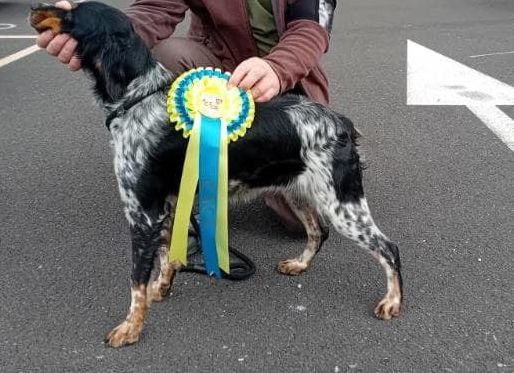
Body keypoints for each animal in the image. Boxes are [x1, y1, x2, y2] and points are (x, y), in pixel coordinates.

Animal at [30, 1, 402, 348]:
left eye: (72, 13)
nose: (35, 8)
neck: (138, 97)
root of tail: (341, 124)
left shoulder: (142, 212)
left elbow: (136, 280)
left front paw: (130, 328)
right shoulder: (165, 207)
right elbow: (166, 258)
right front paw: (161, 288)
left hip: (343, 204)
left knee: (388, 247)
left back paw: (392, 301)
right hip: (300, 192)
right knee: (317, 233)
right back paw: (299, 264)